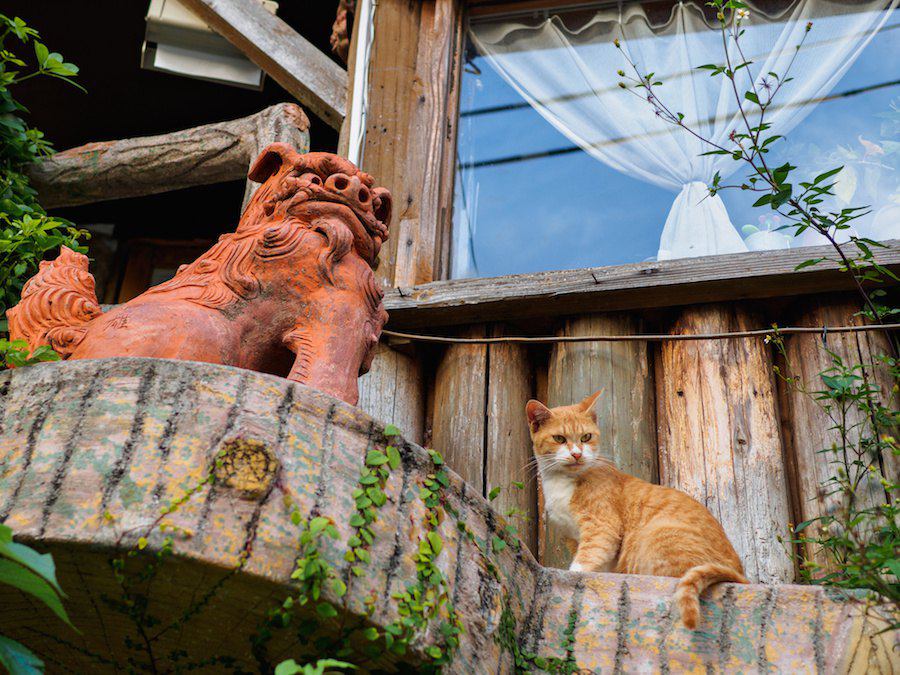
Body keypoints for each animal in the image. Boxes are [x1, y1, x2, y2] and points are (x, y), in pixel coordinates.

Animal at [524, 390, 748, 628]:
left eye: (586, 437)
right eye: (559, 439)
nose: (577, 454)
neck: (562, 482)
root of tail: (740, 573)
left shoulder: (602, 527)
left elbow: (587, 558)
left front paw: (575, 574)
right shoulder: (572, 537)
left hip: (657, 534)